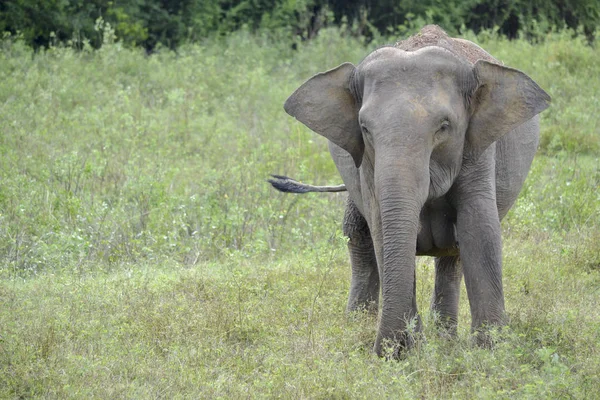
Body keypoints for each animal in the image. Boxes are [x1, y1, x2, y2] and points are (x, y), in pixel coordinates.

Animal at [270, 25, 552, 356]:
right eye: (364, 128)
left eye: (444, 126)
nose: (384, 351)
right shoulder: (366, 165)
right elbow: (382, 229)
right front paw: (410, 351)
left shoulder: (477, 148)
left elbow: (479, 227)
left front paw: (491, 352)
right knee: (359, 233)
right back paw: (363, 324)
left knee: (453, 254)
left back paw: (446, 340)